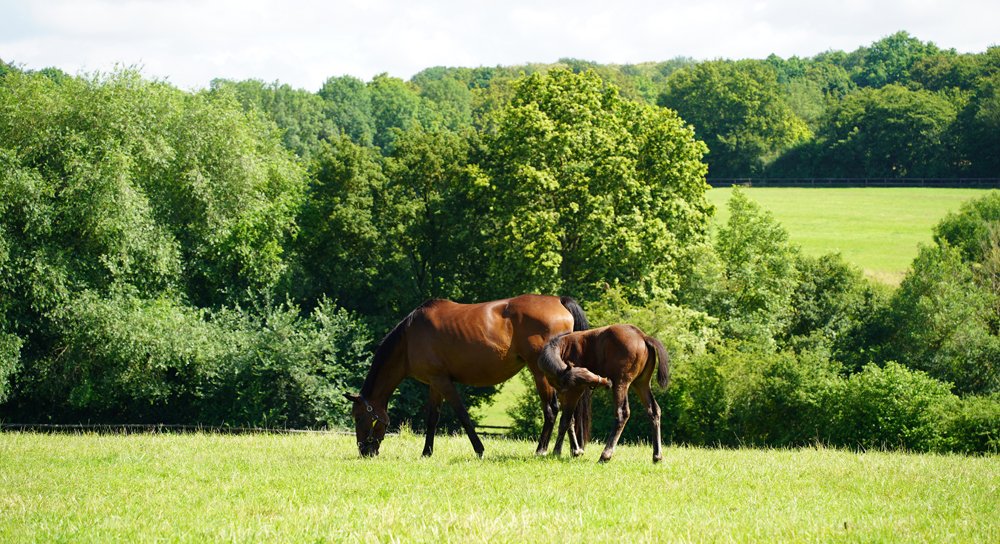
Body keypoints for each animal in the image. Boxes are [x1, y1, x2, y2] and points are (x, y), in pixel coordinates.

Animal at [342, 294, 608, 457]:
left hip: (540, 371)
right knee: (569, 407)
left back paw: (541, 449)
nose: (364, 451)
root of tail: (559, 301)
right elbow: (432, 418)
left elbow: (462, 415)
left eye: (359, 417)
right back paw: (573, 449)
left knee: (552, 409)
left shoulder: (443, 382)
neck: (409, 338)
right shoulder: (434, 384)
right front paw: (426, 452)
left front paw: (479, 448)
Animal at [539, 324, 670, 463]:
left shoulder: (573, 392)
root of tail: (642, 336)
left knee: (622, 413)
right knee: (654, 411)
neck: (560, 348)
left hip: (621, 382)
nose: (606, 382)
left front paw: (557, 451)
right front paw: (576, 450)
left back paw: (605, 455)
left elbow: (565, 420)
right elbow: (571, 421)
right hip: (641, 383)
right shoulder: (565, 393)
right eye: (586, 371)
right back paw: (657, 456)